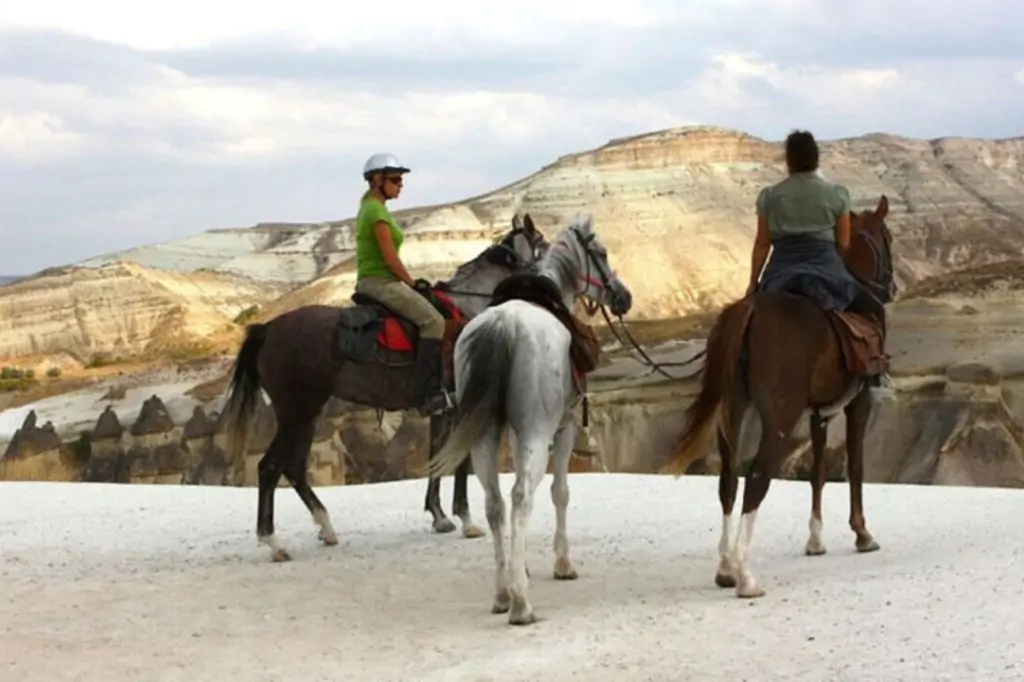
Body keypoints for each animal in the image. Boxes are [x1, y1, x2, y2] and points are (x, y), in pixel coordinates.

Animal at [220, 215, 548, 561]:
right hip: (297, 412)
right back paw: (274, 542)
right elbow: (460, 462)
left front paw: (439, 516)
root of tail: (267, 330)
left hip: (306, 414)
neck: (468, 311)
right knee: (270, 467)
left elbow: (437, 455)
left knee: (293, 468)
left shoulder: (443, 407)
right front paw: (466, 519)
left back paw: (326, 527)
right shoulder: (465, 405)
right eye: (542, 242)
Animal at [423, 212, 630, 622]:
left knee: (494, 502)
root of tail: (504, 325)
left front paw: (524, 567)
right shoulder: (564, 429)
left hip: (484, 437)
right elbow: (559, 492)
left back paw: (503, 592)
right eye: (600, 252)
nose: (623, 297)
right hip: (539, 431)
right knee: (520, 495)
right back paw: (520, 603)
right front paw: (562, 563)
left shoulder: (514, 434)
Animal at [663, 193, 897, 598]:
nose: (891, 288)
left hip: (733, 410)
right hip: (779, 416)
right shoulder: (858, 404)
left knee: (728, 479)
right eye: (889, 238)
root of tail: (749, 310)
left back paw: (725, 569)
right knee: (757, 476)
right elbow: (854, 465)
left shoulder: (819, 412)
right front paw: (862, 533)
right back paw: (745, 576)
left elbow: (818, 469)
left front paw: (815, 539)